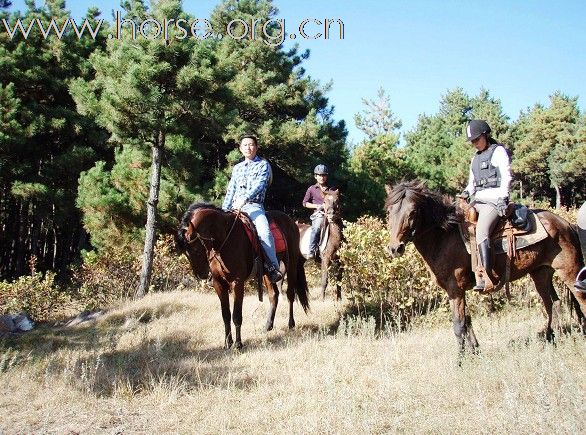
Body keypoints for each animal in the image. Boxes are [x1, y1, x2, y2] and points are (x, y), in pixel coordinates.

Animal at [175, 204, 308, 350]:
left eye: (196, 250)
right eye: (186, 252)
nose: (201, 274)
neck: (225, 238)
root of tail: (292, 222)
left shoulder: (237, 282)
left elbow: (236, 315)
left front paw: (238, 344)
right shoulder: (218, 283)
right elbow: (226, 315)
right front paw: (227, 342)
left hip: (292, 265)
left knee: (290, 294)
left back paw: (291, 324)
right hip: (267, 273)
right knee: (274, 295)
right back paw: (268, 325)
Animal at [384, 181, 584, 354]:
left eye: (413, 212)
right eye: (389, 212)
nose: (395, 248)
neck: (444, 237)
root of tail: (566, 224)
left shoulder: (455, 289)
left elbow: (458, 324)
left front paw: (461, 360)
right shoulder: (457, 292)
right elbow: (467, 320)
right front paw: (475, 351)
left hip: (569, 272)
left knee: (579, 299)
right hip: (540, 274)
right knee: (553, 304)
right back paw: (552, 338)